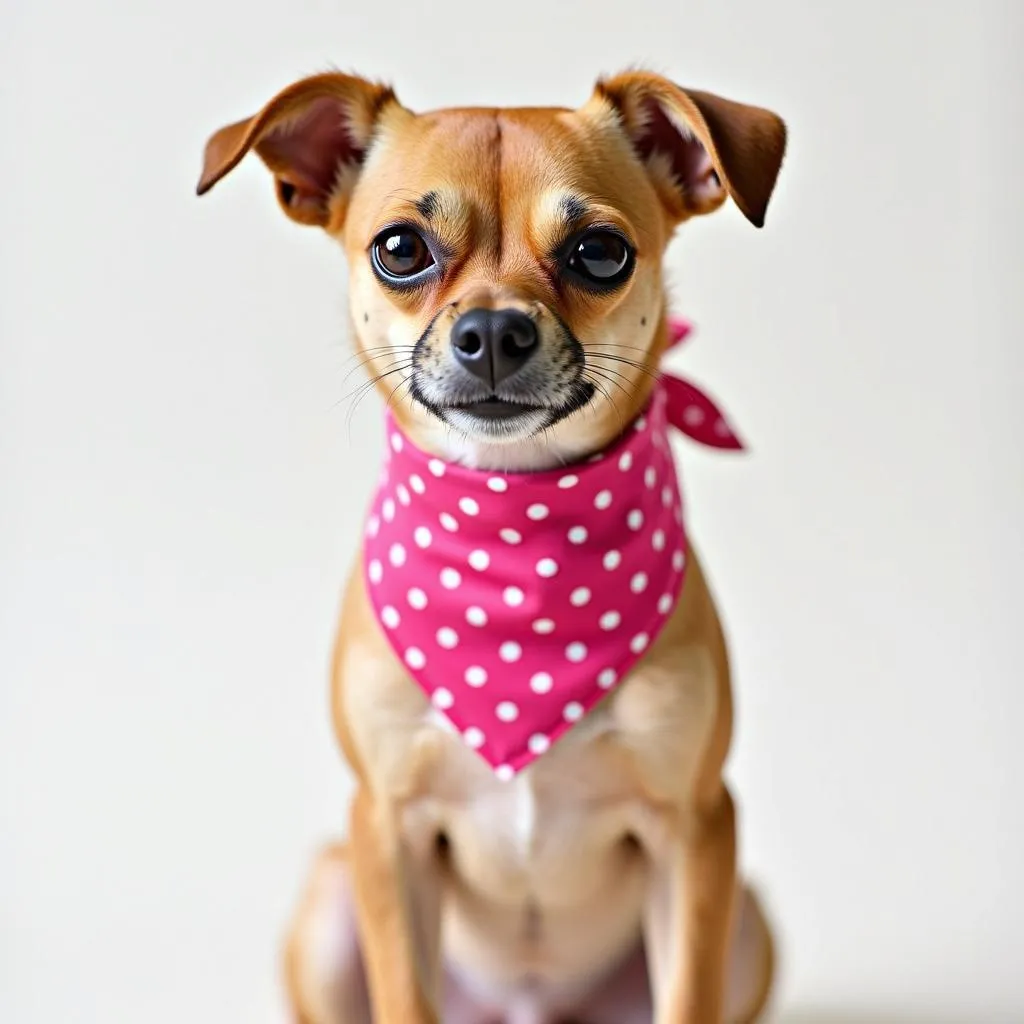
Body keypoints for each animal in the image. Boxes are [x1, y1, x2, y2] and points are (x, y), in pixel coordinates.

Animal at [201, 68, 790, 1019]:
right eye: (400, 248)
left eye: (600, 252)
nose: (492, 332)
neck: (517, 537)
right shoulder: (387, 829)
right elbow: (402, 992)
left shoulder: (695, 831)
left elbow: (688, 995)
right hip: (329, 899)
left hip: (749, 925)